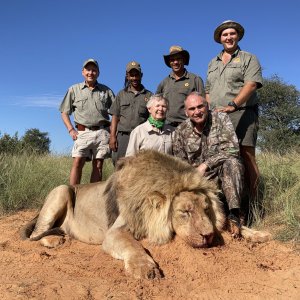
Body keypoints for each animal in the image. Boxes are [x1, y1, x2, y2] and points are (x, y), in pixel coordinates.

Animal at [19, 150, 270, 278]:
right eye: (185, 212)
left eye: (206, 209)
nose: (208, 236)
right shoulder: (116, 231)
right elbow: (133, 246)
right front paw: (146, 269)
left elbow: (228, 225)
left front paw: (258, 234)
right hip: (61, 190)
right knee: (35, 235)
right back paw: (53, 239)